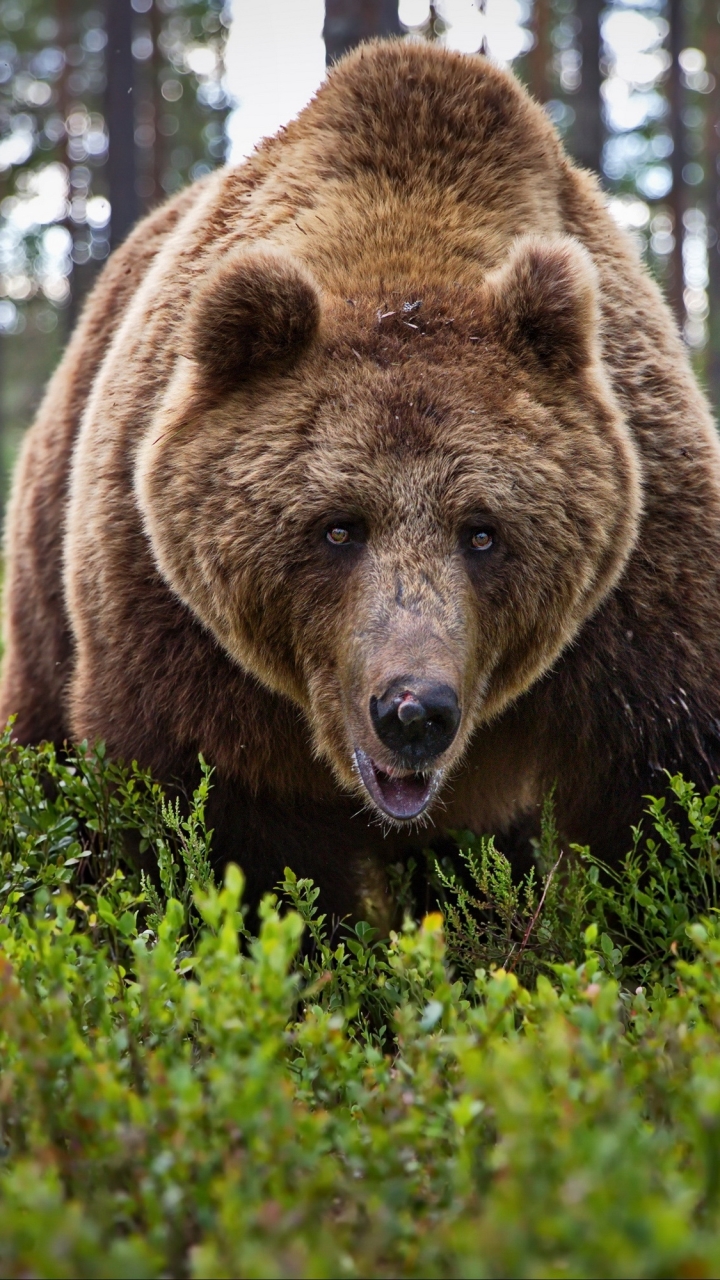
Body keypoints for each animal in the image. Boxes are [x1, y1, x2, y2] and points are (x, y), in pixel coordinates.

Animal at [4, 40, 717, 921]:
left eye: (484, 530)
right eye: (338, 526)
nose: (414, 709)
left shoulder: (642, 593)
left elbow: (657, 796)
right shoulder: (173, 627)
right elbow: (226, 835)